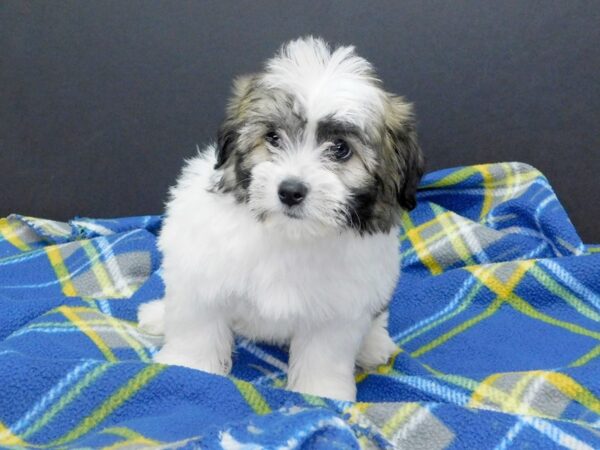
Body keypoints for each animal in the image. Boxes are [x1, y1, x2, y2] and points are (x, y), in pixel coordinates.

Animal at [138, 36, 424, 400]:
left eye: (340, 149)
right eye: (273, 137)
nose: (290, 191)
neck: (289, 233)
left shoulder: (338, 311)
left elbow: (324, 356)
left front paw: (323, 393)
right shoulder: (203, 277)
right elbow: (197, 327)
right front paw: (188, 368)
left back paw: (374, 346)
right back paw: (156, 315)